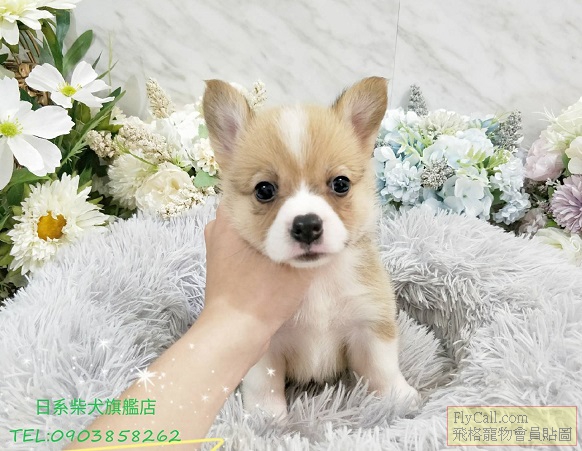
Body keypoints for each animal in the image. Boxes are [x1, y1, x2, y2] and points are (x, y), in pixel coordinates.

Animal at [202, 77, 419, 417]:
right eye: (264, 190)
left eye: (341, 183)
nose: (306, 225)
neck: (317, 281)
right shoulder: (263, 345)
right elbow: (263, 385)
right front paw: (266, 419)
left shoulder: (370, 324)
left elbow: (382, 368)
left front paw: (399, 397)